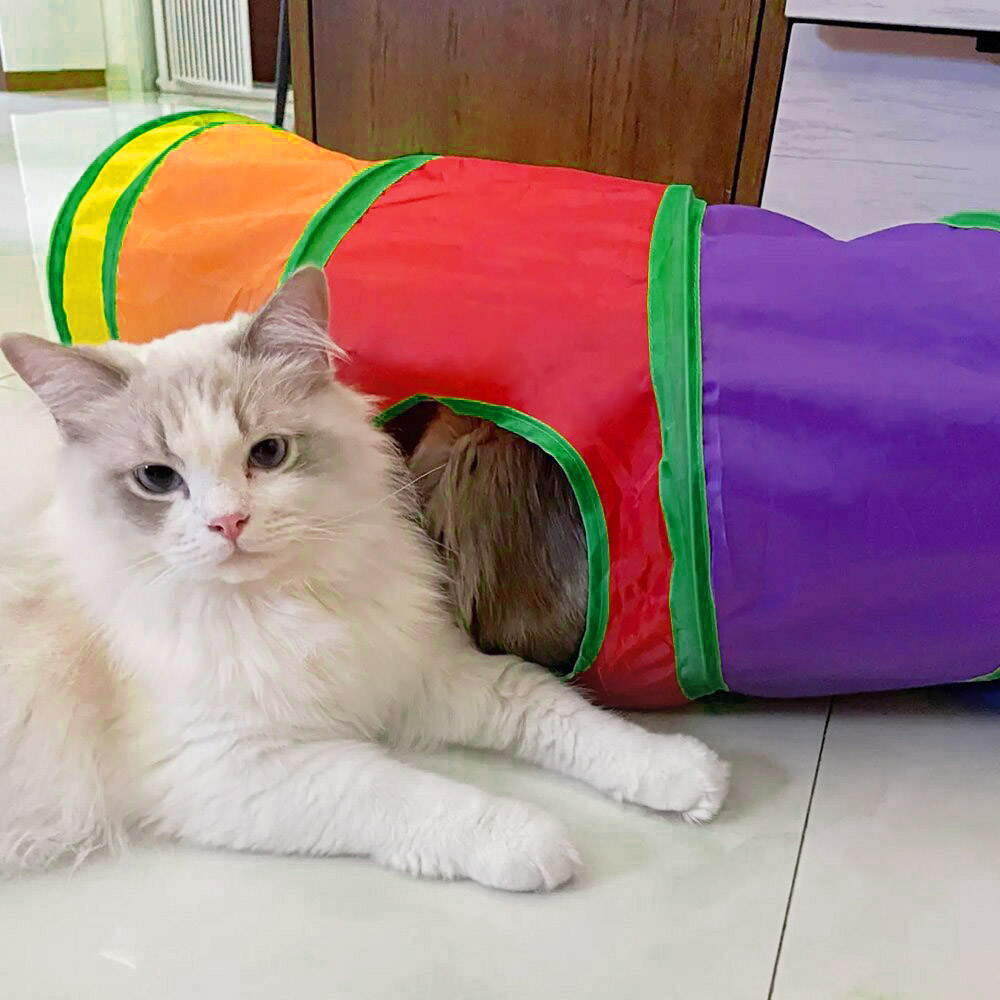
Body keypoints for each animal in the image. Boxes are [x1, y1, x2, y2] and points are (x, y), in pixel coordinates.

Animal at [0, 267, 728, 890]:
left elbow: (556, 712)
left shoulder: (416, 669)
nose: (229, 523)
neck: (283, 601)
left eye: (269, 454)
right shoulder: (237, 765)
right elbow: (408, 793)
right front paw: (531, 841)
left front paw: (683, 772)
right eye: (156, 478)